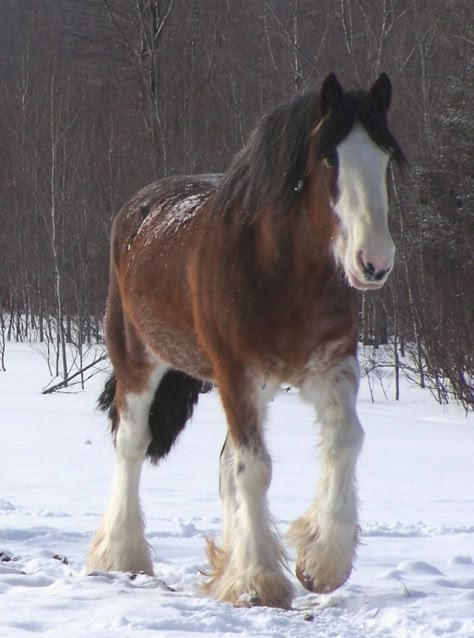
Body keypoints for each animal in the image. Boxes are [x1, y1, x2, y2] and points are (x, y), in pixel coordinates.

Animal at [87, 74, 406, 608]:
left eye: (384, 157)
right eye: (330, 158)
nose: (374, 262)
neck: (281, 271)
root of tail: (137, 207)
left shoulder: (330, 365)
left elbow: (345, 440)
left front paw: (321, 563)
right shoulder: (236, 373)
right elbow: (255, 469)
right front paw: (259, 581)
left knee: (224, 467)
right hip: (139, 361)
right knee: (131, 447)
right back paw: (123, 555)